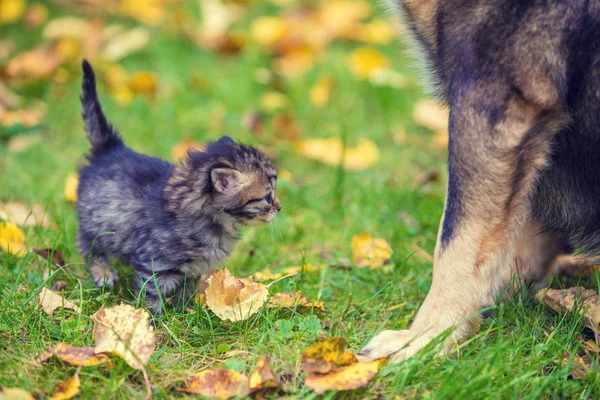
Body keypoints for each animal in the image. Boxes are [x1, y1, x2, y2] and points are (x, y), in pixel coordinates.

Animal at [75, 61, 282, 314]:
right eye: (268, 197)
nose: (279, 208)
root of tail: (111, 149)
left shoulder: (193, 269)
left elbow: (187, 291)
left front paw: (187, 312)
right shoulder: (152, 264)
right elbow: (151, 296)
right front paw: (153, 319)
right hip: (97, 220)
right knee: (88, 244)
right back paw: (103, 272)